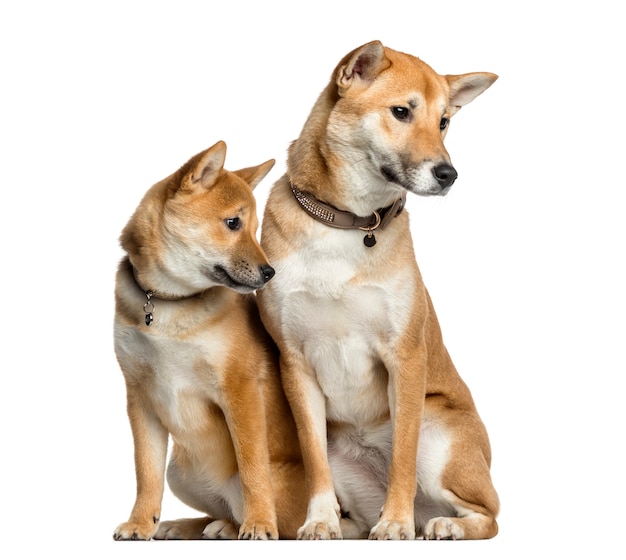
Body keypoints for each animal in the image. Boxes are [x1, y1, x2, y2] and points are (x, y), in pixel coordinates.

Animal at [113, 142, 308, 540]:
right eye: (233, 223)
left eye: (257, 228)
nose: (270, 272)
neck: (169, 303)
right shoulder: (139, 395)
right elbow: (145, 472)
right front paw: (140, 523)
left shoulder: (240, 388)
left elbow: (253, 468)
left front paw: (260, 523)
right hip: (179, 472)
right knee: (217, 509)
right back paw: (188, 525)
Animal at [256, 41, 500, 540]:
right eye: (402, 112)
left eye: (444, 121)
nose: (448, 174)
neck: (349, 224)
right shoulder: (295, 364)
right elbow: (313, 461)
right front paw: (319, 521)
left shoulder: (404, 357)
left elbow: (402, 458)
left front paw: (395, 523)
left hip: (438, 434)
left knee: (490, 514)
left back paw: (443, 525)